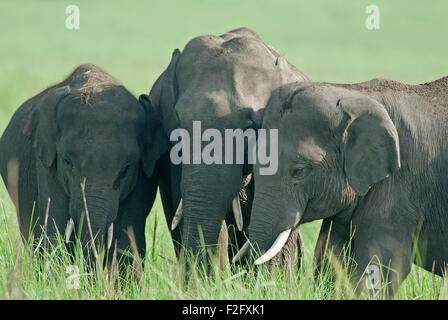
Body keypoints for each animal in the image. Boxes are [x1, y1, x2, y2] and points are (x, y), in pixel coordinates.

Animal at [0, 63, 158, 266]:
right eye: (67, 162)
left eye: (125, 169)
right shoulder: (46, 162)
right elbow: (55, 221)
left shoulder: (143, 173)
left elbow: (128, 230)